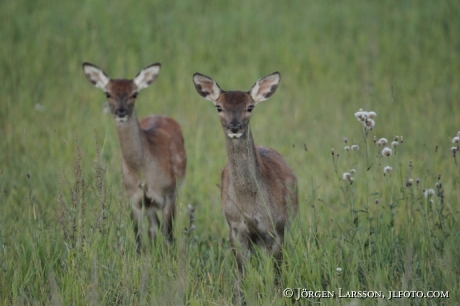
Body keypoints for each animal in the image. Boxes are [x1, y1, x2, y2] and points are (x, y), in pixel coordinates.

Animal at [82, 62, 186, 251]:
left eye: (134, 93)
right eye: (108, 93)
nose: (121, 111)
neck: (143, 172)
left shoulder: (168, 194)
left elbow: (168, 236)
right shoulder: (135, 199)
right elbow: (139, 239)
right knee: (153, 229)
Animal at [192, 71, 300, 296]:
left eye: (250, 107)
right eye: (219, 107)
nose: (234, 126)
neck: (250, 206)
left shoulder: (276, 227)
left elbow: (276, 272)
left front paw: (276, 295)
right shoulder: (235, 228)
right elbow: (242, 272)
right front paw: (240, 296)